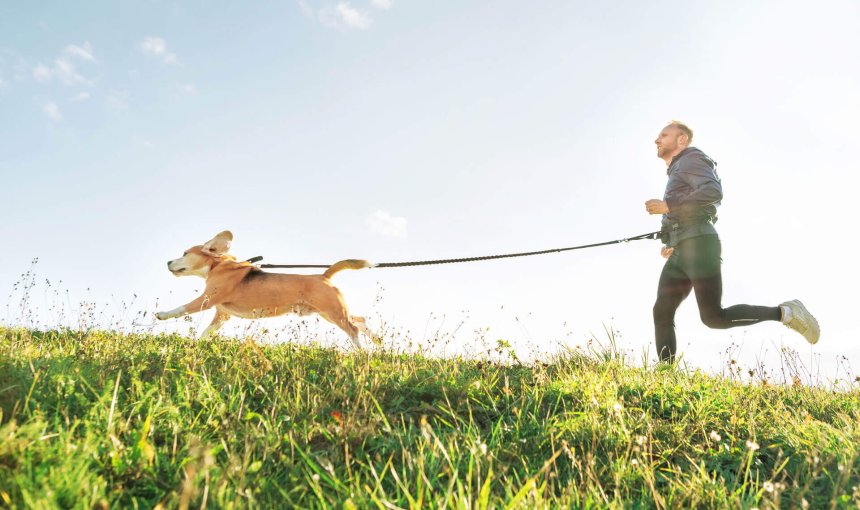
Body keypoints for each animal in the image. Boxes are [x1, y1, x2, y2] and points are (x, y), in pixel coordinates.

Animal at [156, 230, 372, 346]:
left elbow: (182, 308)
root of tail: (324, 275)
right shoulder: (222, 315)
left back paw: (360, 351)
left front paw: (162, 315)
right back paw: (375, 343)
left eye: (184, 253)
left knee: (353, 329)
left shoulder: (206, 300)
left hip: (333, 311)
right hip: (329, 312)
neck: (218, 265)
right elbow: (205, 333)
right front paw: (197, 344)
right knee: (361, 320)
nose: (167, 262)